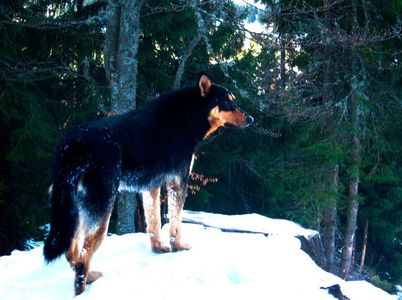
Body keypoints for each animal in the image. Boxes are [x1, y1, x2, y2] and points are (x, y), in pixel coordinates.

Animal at [43, 74, 251, 296]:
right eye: (229, 102)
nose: (251, 119)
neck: (186, 116)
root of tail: (71, 145)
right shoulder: (177, 182)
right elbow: (175, 223)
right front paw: (178, 246)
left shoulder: (151, 187)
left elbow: (154, 223)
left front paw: (159, 248)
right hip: (101, 209)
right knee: (82, 258)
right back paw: (82, 289)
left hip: (75, 211)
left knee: (72, 252)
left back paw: (91, 277)